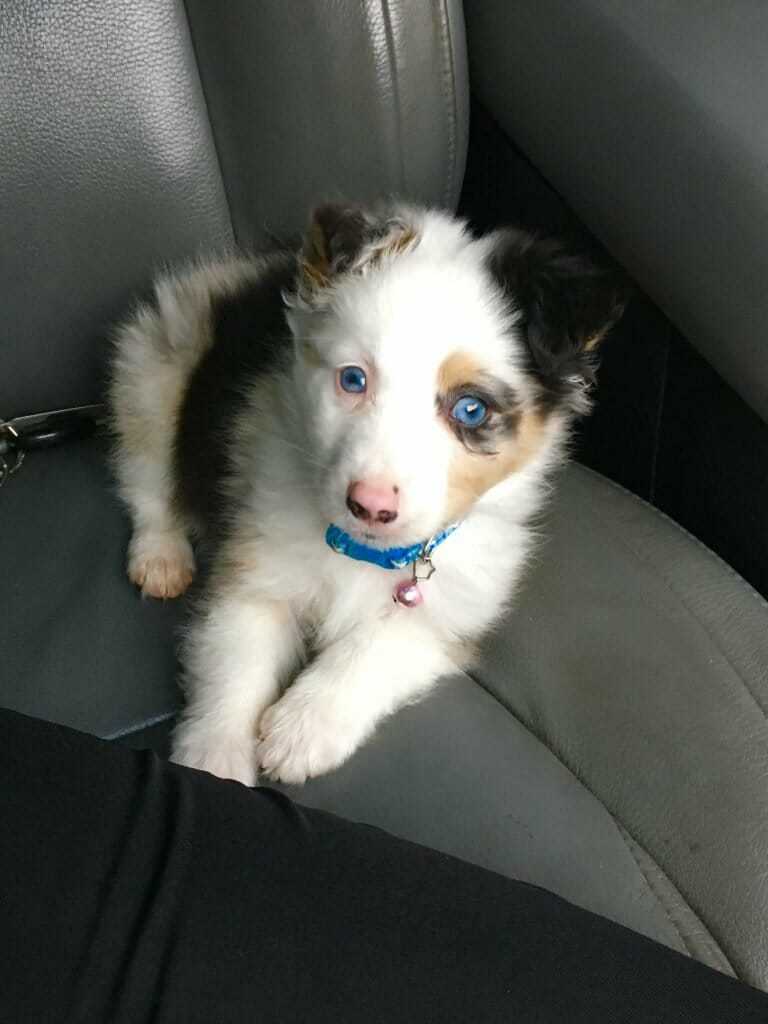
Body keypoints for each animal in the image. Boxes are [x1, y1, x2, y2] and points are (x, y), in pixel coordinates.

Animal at [109, 203, 626, 786]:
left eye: (471, 409)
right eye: (353, 379)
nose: (371, 507)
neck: (362, 552)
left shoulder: (453, 612)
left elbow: (380, 644)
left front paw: (301, 729)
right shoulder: (255, 571)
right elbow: (232, 668)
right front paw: (213, 763)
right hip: (156, 364)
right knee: (146, 475)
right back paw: (161, 557)